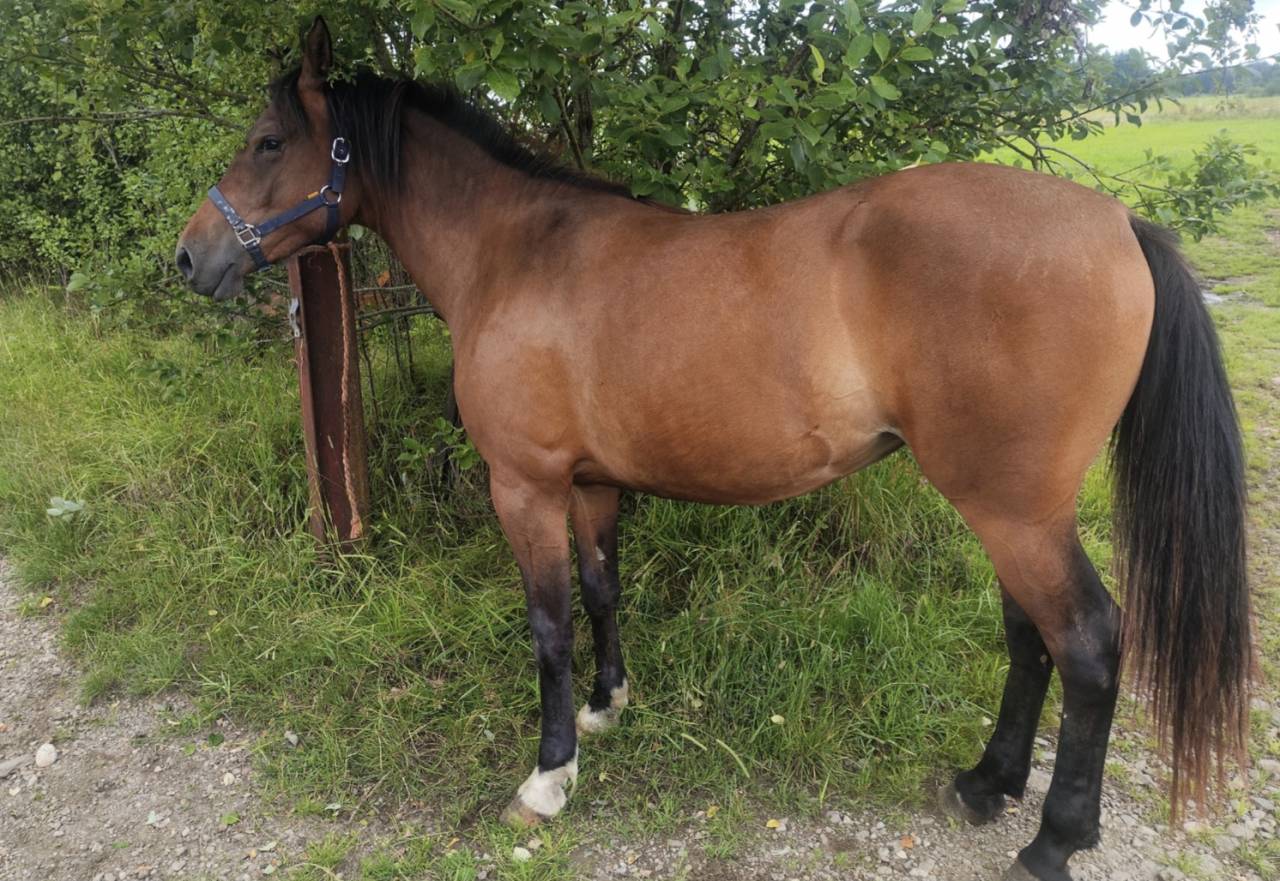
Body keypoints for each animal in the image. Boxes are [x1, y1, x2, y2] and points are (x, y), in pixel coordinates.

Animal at [176, 18, 1252, 881]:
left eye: (268, 141)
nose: (189, 258)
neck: (517, 253)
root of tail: (1116, 221)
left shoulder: (523, 484)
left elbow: (548, 624)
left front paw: (549, 774)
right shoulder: (591, 482)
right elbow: (602, 589)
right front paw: (608, 706)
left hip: (1013, 509)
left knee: (1086, 644)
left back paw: (1053, 837)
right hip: (1014, 509)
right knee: (1031, 637)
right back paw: (987, 783)